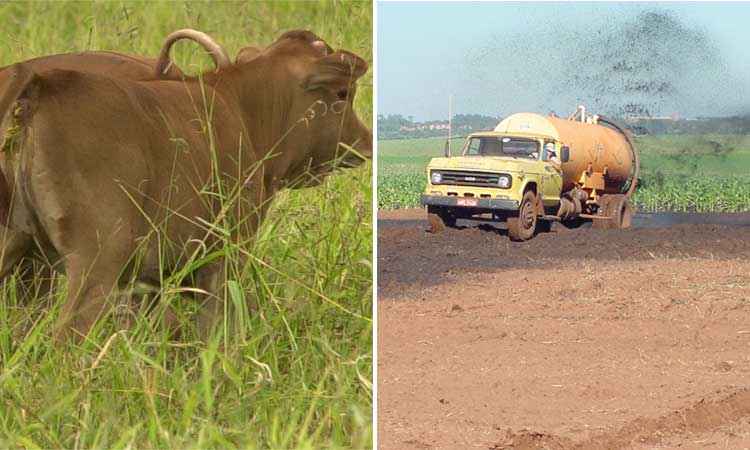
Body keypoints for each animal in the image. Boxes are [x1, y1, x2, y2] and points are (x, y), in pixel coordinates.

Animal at [0, 29, 368, 342]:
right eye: (342, 92)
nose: (363, 144)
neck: (240, 104)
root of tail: (37, 87)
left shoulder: (146, 282)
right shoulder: (225, 258)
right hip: (95, 263)